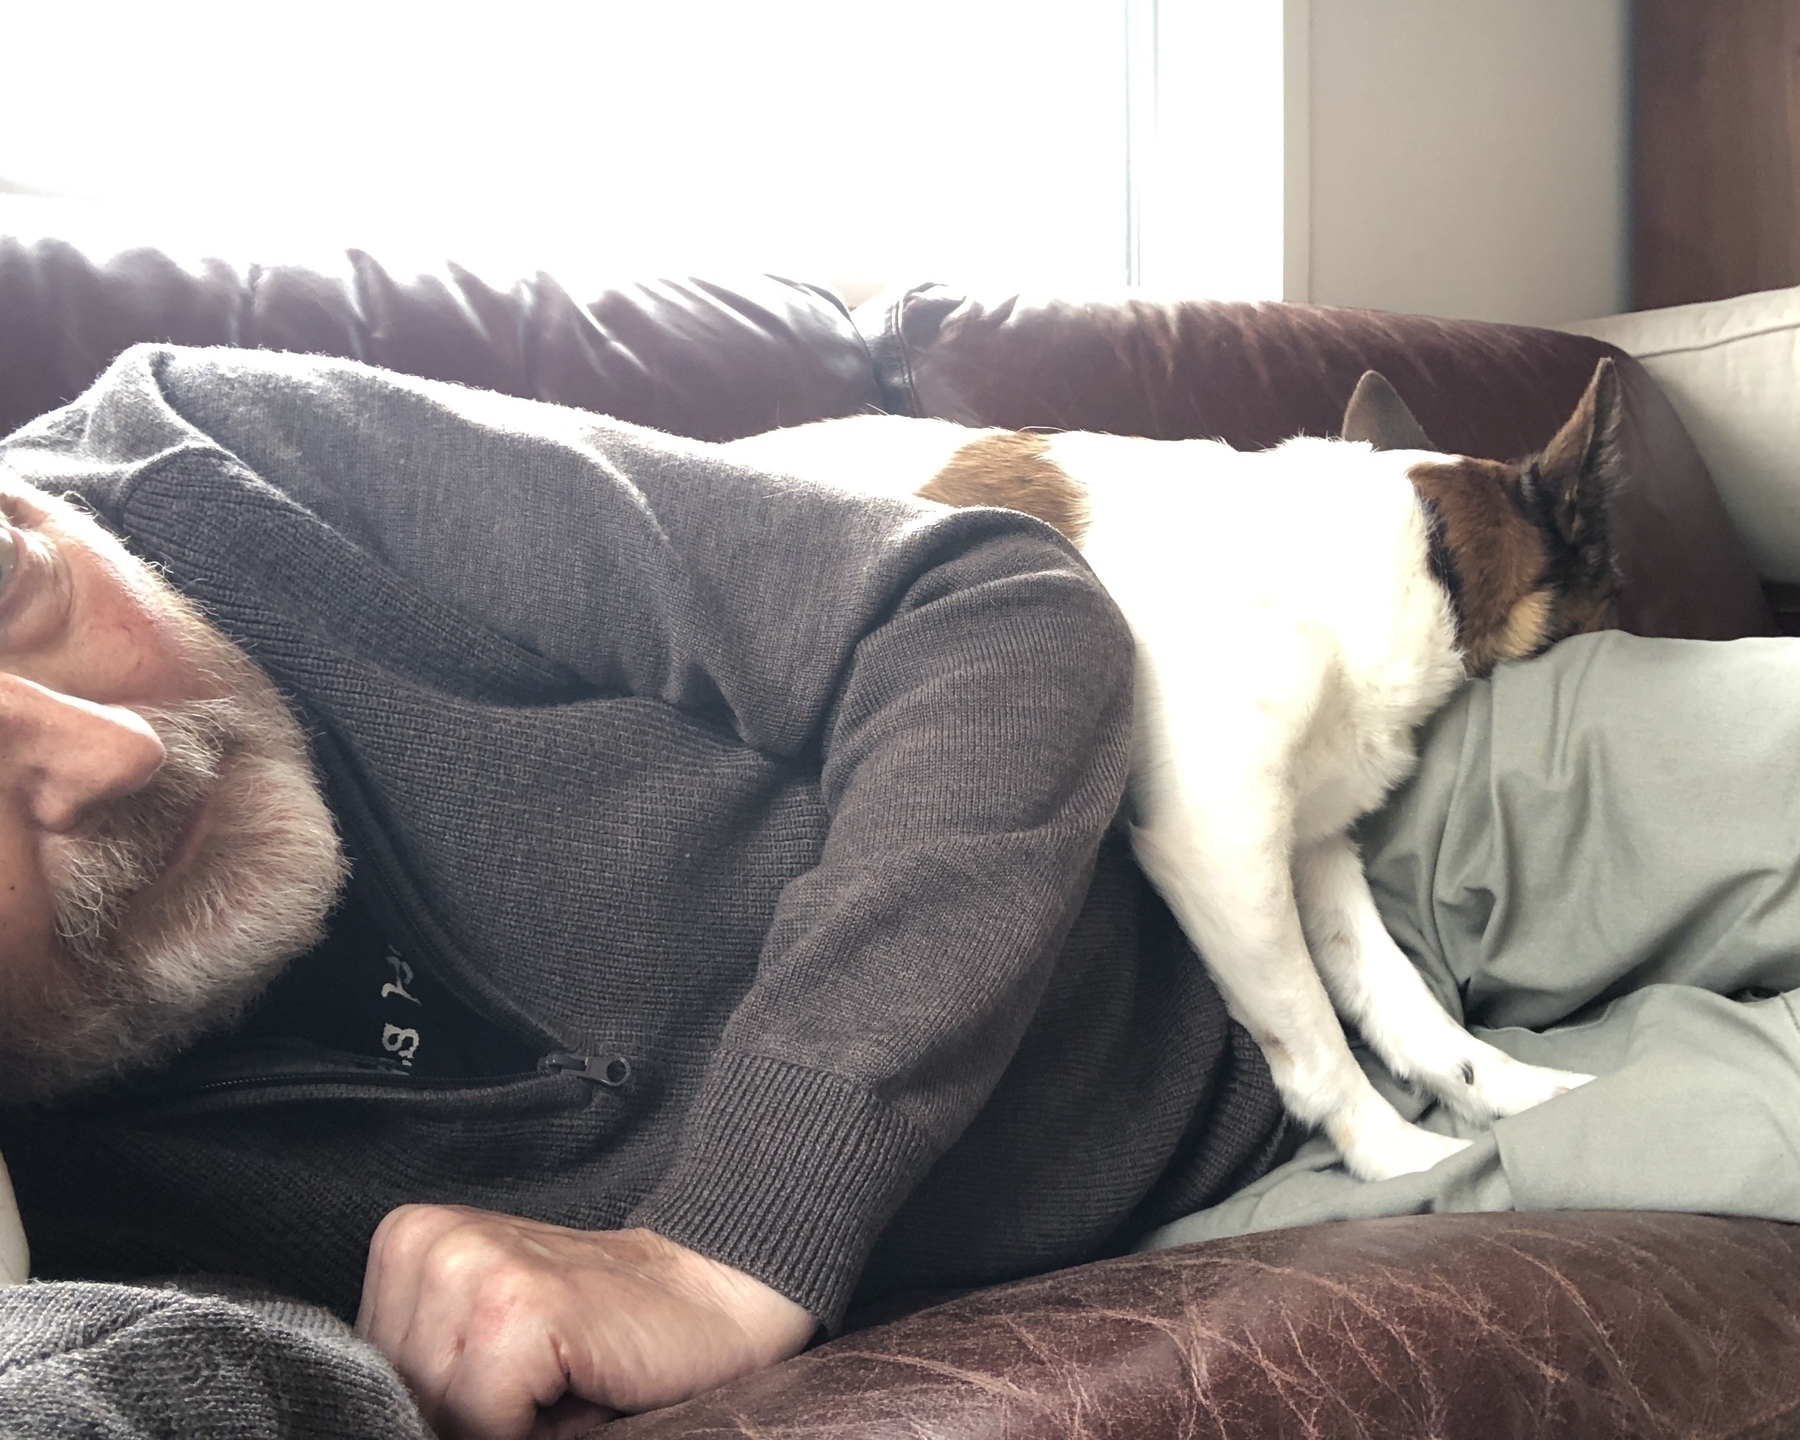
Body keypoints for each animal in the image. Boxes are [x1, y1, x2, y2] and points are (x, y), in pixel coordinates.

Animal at [723, 363, 1627, 1180]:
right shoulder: (1223, 853)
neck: (1423, 552)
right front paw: (1397, 1155)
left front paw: (1509, 1091)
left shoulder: (1314, 848)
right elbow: (1312, 1031)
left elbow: (1399, 998)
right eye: (1618, 593)